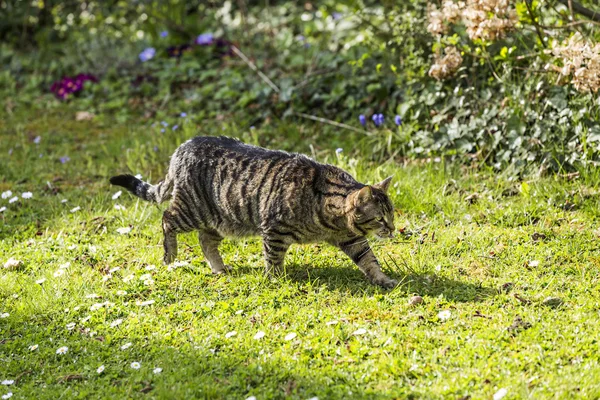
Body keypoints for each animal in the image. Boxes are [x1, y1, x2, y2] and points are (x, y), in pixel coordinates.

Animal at [110, 136, 398, 290]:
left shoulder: (352, 238)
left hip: (221, 219)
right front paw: (276, 280)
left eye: (392, 215)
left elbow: (369, 260)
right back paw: (170, 256)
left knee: (205, 241)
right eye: (380, 218)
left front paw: (383, 279)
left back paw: (219, 268)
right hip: (190, 211)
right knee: (166, 219)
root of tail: (183, 146)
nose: (393, 229)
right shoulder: (274, 230)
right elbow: (273, 259)